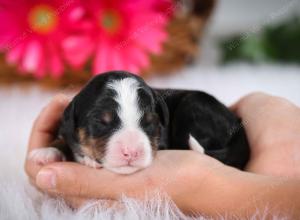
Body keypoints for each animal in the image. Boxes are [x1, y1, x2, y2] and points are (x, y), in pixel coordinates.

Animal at [29, 71, 251, 174]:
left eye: (149, 122)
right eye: (101, 121)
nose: (132, 152)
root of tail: (238, 126)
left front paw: (87, 159)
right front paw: (46, 152)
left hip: (193, 105)